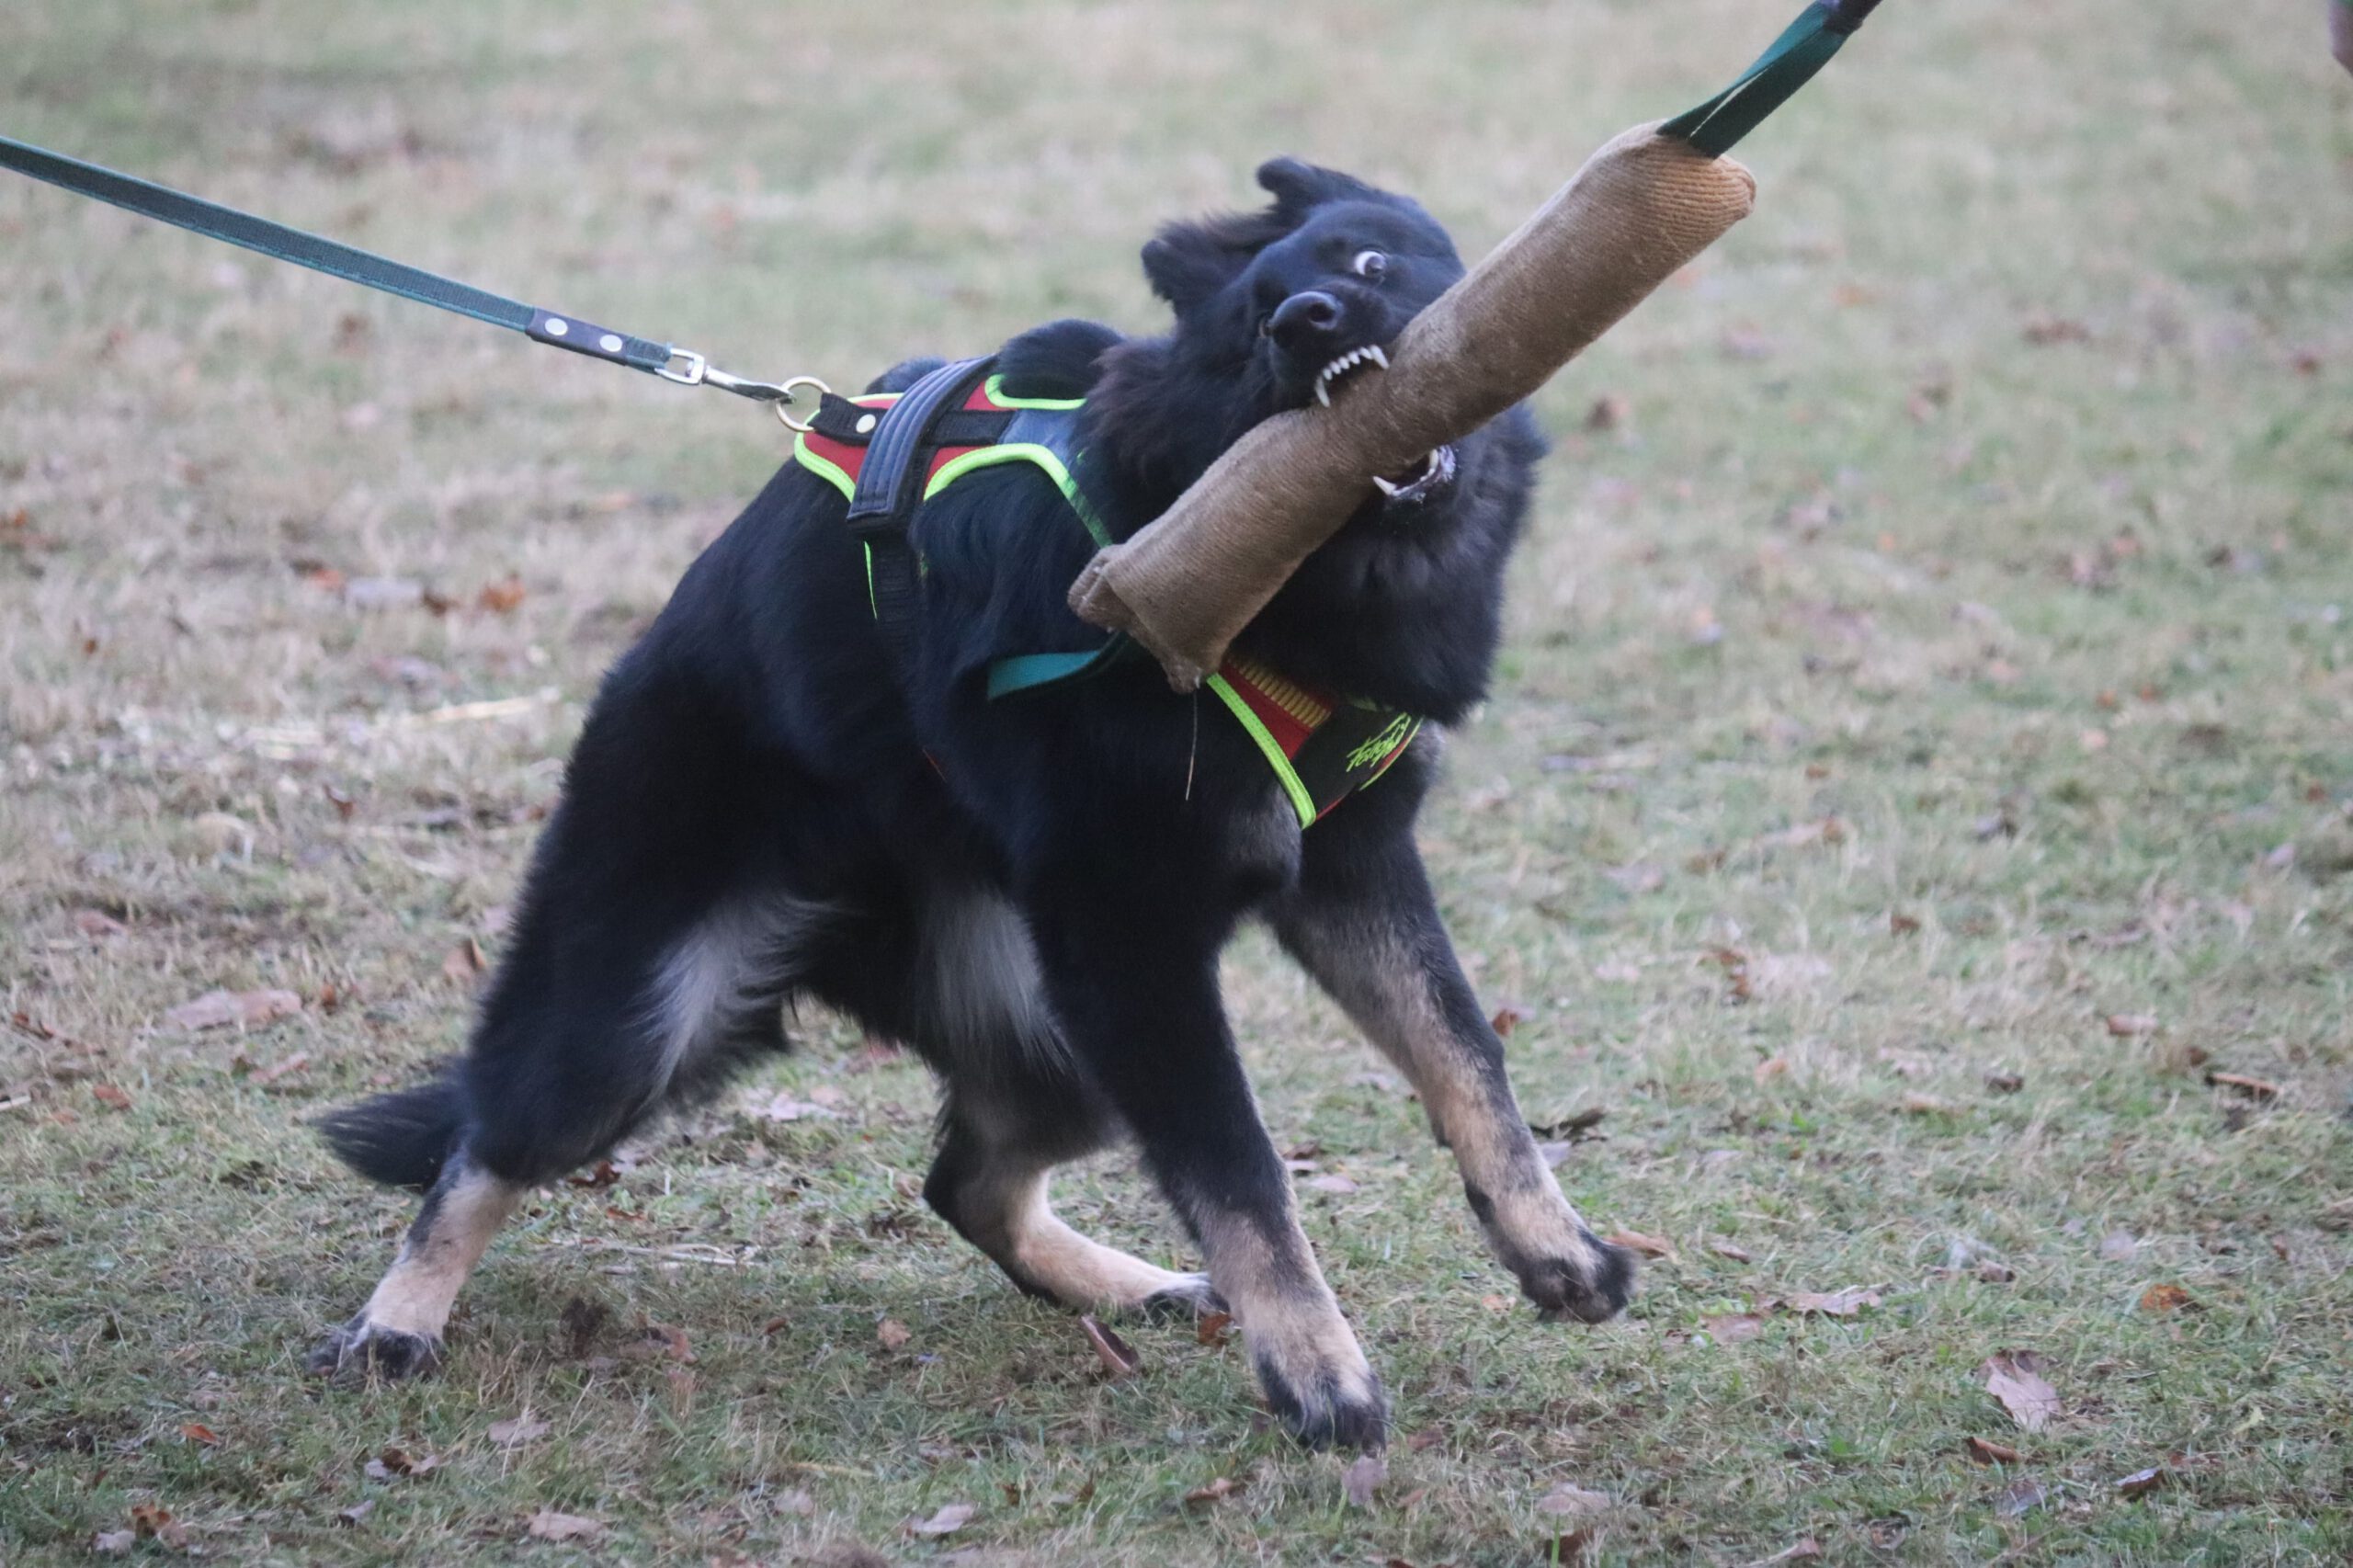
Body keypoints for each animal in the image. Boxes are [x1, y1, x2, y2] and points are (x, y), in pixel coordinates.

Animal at [313, 155, 1628, 1440]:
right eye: (1254, 324)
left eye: (1367, 263)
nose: (1306, 320)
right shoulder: (1132, 937)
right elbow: (1242, 1165)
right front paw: (1319, 1369)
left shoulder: (1348, 871)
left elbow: (1463, 1054)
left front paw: (1548, 1243)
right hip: (648, 1022)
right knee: (487, 1141)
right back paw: (396, 1320)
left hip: (1066, 1046)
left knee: (968, 1180)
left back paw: (1124, 1283)